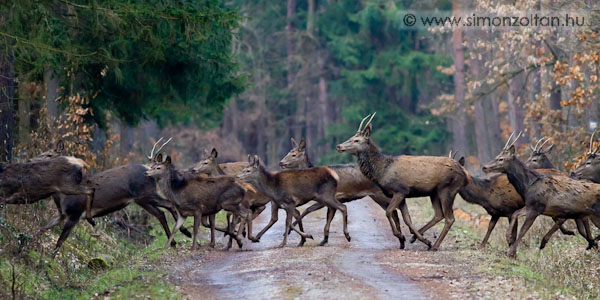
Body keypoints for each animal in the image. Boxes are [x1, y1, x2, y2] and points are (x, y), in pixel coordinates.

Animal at [280, 137, 418, 247]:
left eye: (293, 154)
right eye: (288, 152)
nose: (281, 162)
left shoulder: (326, 198)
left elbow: (308, 210)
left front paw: (290, 231)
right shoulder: (332, 200)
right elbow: (327, 218)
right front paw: (324, 240)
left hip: (380, 195)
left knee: (394, 212)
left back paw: (403, 238)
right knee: (396, 211)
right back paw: (403, 239)